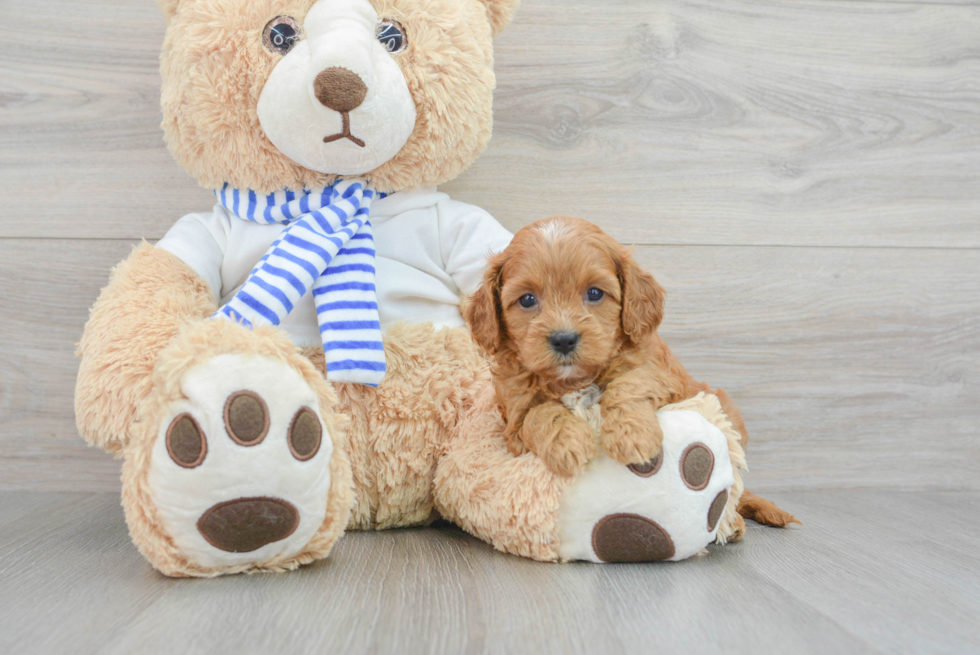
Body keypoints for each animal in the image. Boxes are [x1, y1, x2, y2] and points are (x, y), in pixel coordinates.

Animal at [468, 218, 752, 480]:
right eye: (527, 299)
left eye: (594, 293)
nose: (563, 339)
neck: (573, 381)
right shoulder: (513, 421)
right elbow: (537, 414)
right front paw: (567, 442)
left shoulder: (667, 378)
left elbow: (628, 383)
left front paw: (632, 436)